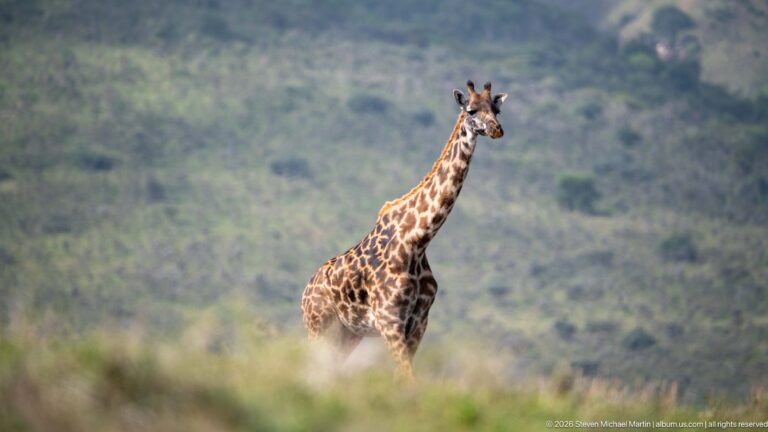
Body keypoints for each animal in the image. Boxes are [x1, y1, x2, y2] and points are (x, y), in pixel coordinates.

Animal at [301, 81, 507, 379]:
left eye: (496, 109)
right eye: (470, 110)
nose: (496, 130)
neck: (418, 240)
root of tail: (304, 294)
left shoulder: (419, 322)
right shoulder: (390, 322)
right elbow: (408, 379)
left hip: (347, 334)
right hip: (318, 327)